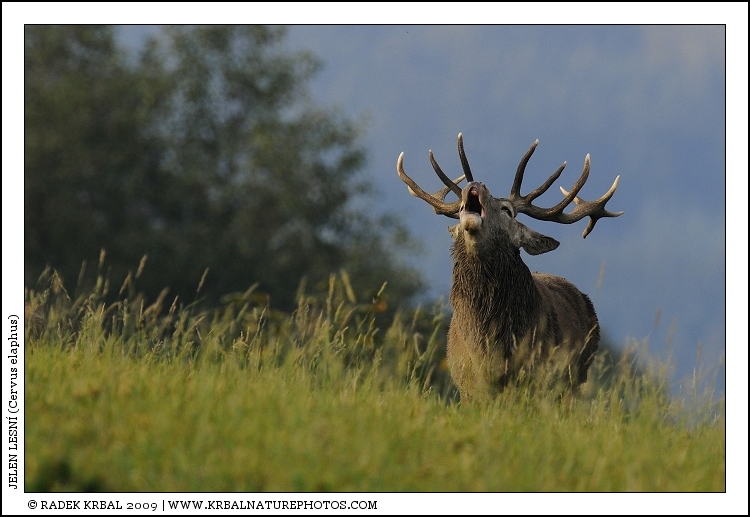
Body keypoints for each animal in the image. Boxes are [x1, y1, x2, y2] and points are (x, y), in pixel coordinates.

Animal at [397, 134, 622, 401]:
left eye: (507, 211)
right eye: (460, 208)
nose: (476, 184)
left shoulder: (536, 377)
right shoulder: (468, 387)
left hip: (575, 377)